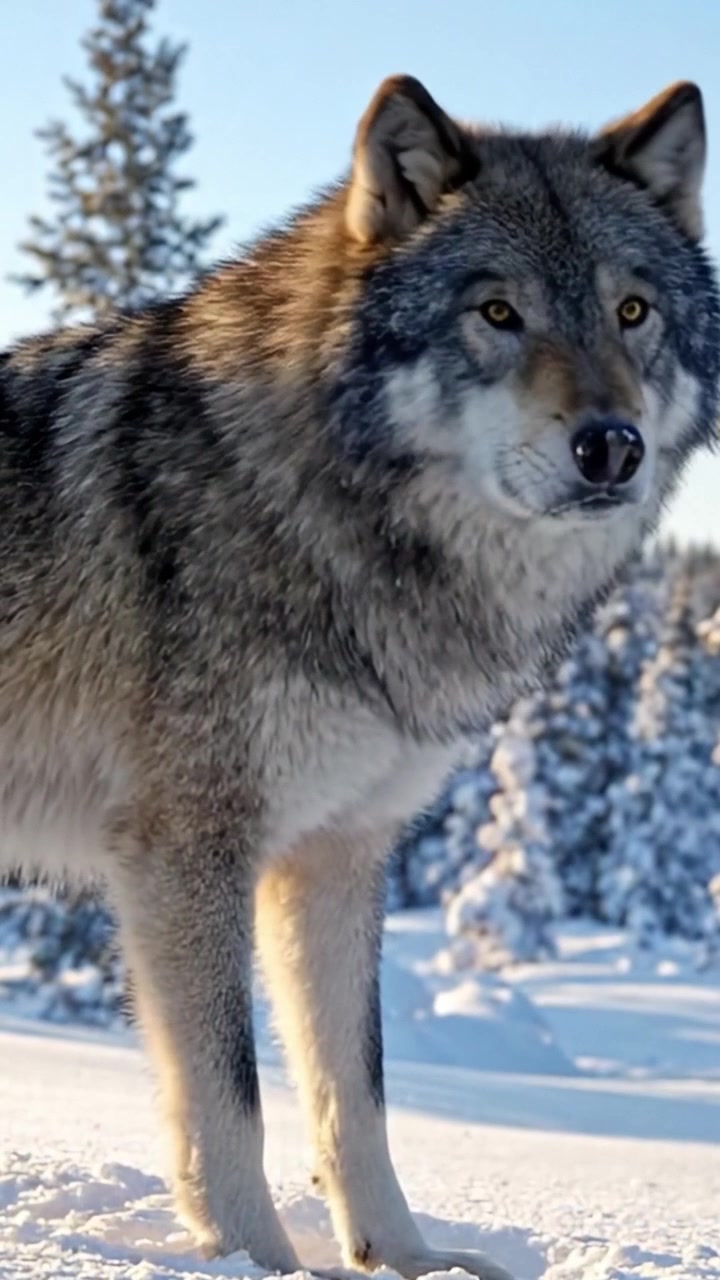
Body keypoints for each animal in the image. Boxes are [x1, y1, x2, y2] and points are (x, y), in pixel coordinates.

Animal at [0, 73, 718, 1280]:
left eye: (632, 312)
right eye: (497, 314)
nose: (611, 445)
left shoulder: (339, 854)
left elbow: (358, 1094)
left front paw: (405, 1258)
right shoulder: (189, 851)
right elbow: (231, 1098)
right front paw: (257, 1263)